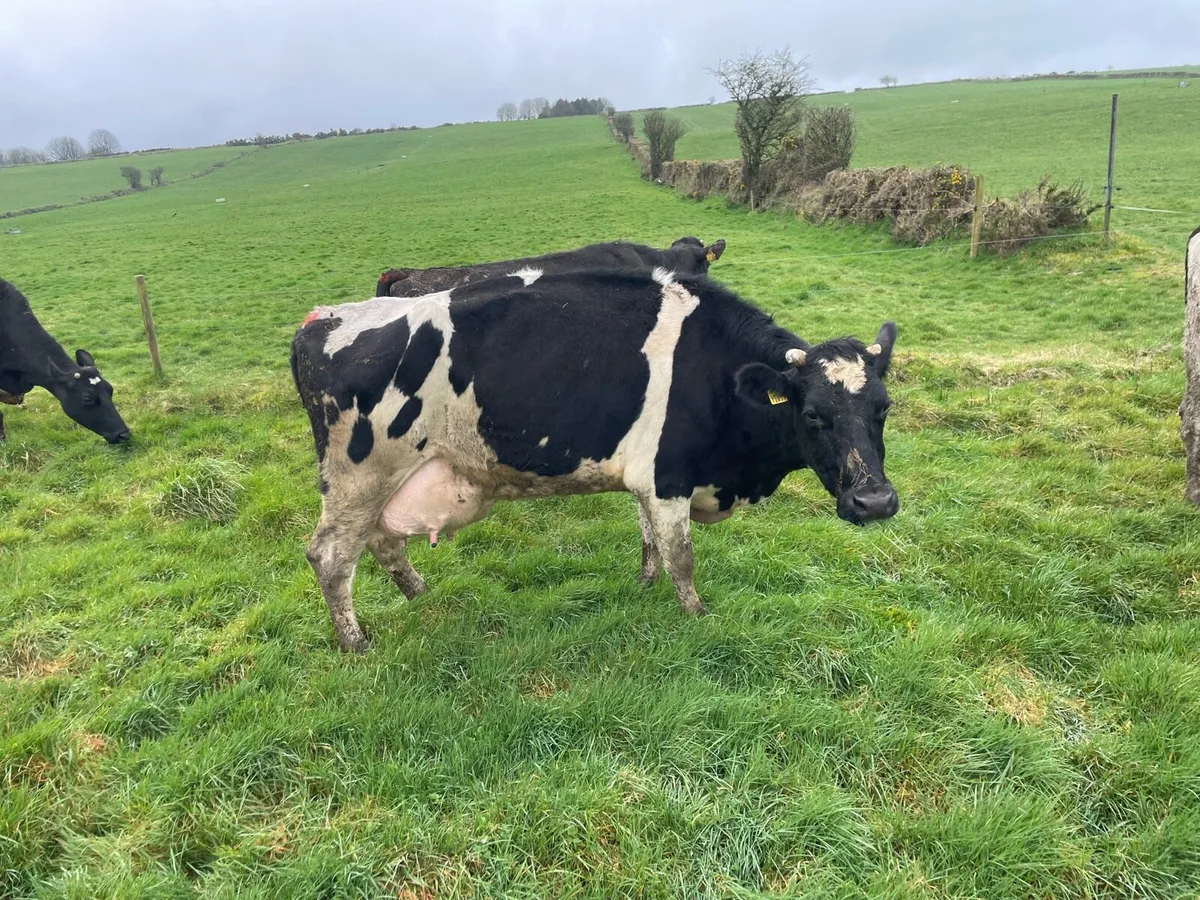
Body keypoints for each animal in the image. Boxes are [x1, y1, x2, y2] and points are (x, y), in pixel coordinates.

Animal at [292, 267, 898, 652]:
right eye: (813, 414)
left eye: (884, 407)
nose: (874, 501)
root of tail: (321, 320)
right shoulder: (668, 476)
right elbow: (682, 557)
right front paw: (695, 616)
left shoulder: (646, 479)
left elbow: (650, 539)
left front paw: (645, 586)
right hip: (358, 476)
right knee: (331, 556)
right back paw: (355, 642)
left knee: (381, 541)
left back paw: (420, 596)